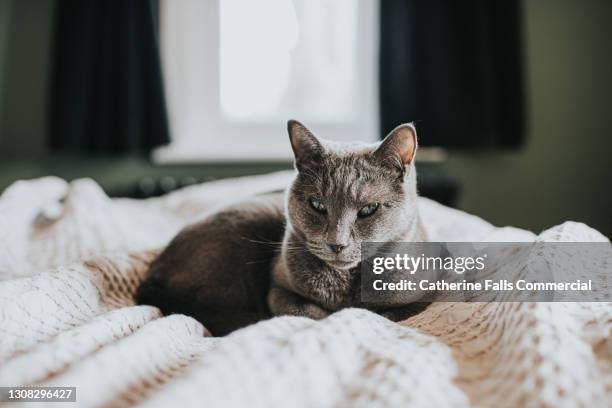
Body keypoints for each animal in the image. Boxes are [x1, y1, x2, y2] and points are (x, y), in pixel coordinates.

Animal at [136, 120, 428, 334]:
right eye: (317, 204)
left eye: (368, 209)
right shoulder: (277, 290)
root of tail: (150, 280)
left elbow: (390, 312)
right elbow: (306, 312)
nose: (337, 243)